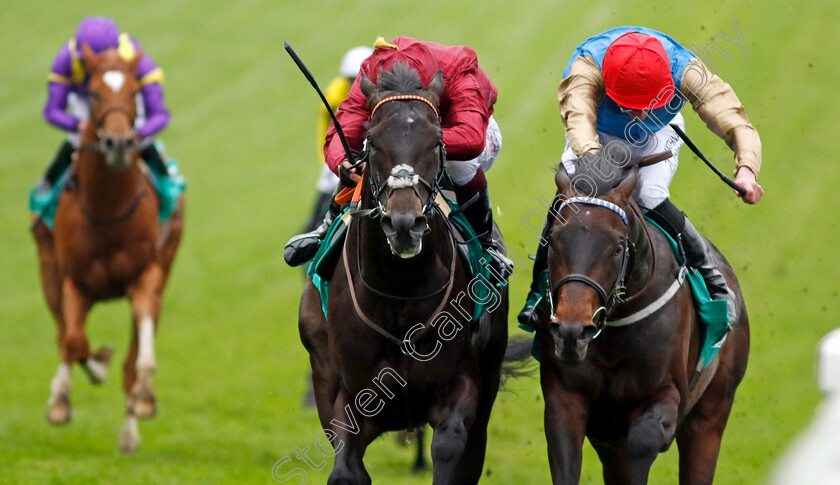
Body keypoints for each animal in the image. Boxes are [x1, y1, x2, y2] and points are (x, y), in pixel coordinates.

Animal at [34, 43, 184, 452]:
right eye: (94, 94)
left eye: (134, 93)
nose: (118, 144)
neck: (107, 210)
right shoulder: (74, 282)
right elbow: (73, 341)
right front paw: (66, 394)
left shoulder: (146, 277)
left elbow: (139, 360)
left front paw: (142, 398)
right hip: (48, 271)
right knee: (63, 335)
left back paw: (133, 422)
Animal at [298, 62, 508, 482]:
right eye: (371, 142)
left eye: (436, 141)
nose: (404, 224)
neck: (399, 291)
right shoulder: (348, 399)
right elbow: (346, 469)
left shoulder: (461, 384)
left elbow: (450, 446)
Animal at [536, 157, 752, 482]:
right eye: (552, 240)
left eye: (617, 247)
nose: (572, 332)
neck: (615, 329)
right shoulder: (565, 398)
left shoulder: (668, 395)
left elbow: (644, 439)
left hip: (712, 412)